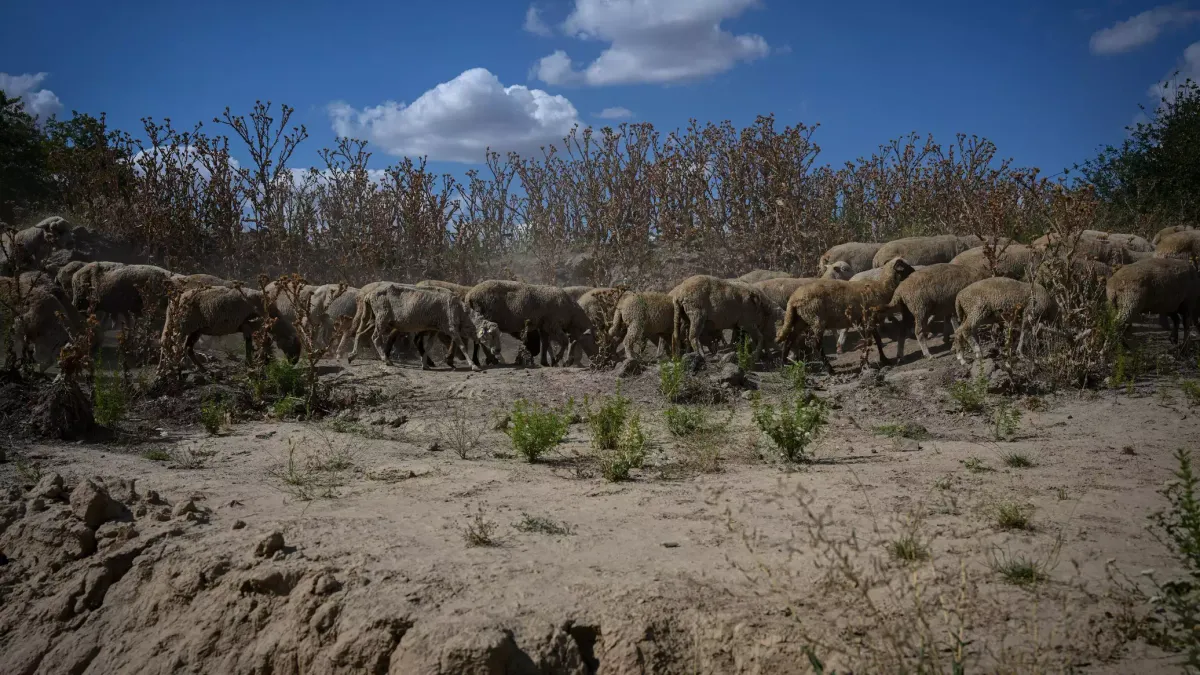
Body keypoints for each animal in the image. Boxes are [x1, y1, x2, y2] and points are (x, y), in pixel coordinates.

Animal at [160, 283, 302, 367]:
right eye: (294, 345)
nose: (294, 362)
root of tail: (174, 302)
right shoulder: (248, 325)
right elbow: (251, 343)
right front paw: (252, 362)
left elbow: (259, 342)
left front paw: (263, 360)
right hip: (182, 325)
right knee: (168, 343)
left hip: (196, 330)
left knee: (187, 348)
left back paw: (202, 369)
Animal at [345, 281, 499, 369]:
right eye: (491, 335)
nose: (497, 350)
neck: (461, 312)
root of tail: (369, 295)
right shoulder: (451, 328)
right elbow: (462, 346)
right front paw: (473, 365)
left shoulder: (434, 329)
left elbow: (429, 346)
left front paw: (425, 364)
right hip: (382, 318)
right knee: (375, 337)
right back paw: (386, 360)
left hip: (375, 318)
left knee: (360, 333)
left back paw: (352, 355)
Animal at [772, 255, 912, 367]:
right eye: (906, 266)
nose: (915, 272)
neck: (882, 287)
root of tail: (793, 299)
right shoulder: (869, 318)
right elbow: (874, 339)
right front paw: (878, 359)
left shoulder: (865, 320)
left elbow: (873, 339)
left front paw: (879, 359)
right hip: (816, 320)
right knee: (816, 345)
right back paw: (829, 369)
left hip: (801, 320)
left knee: (789, 340)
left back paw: (784, 365)